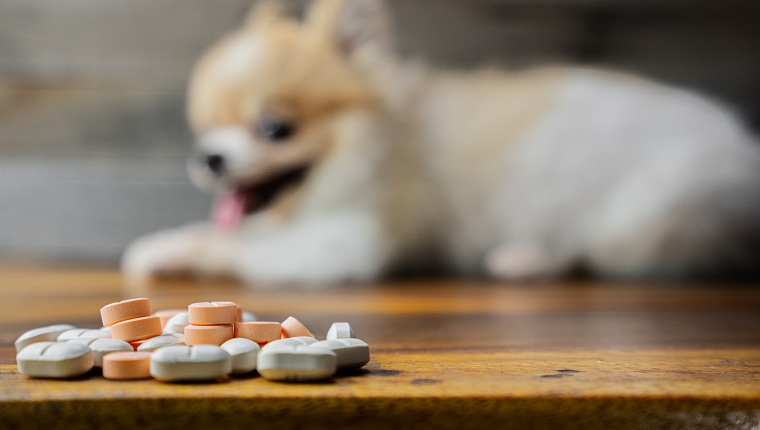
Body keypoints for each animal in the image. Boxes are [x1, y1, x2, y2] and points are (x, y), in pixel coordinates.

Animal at [121, 0, 760, 286]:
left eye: (275, 128)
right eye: (205, 125)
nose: (209, 157)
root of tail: (745, 151)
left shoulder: (349, 240)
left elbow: (234, 246)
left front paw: (181, 250)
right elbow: (234, 231)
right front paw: (168, 244)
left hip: (646, 223)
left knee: (598, 253)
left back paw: (525, 259)